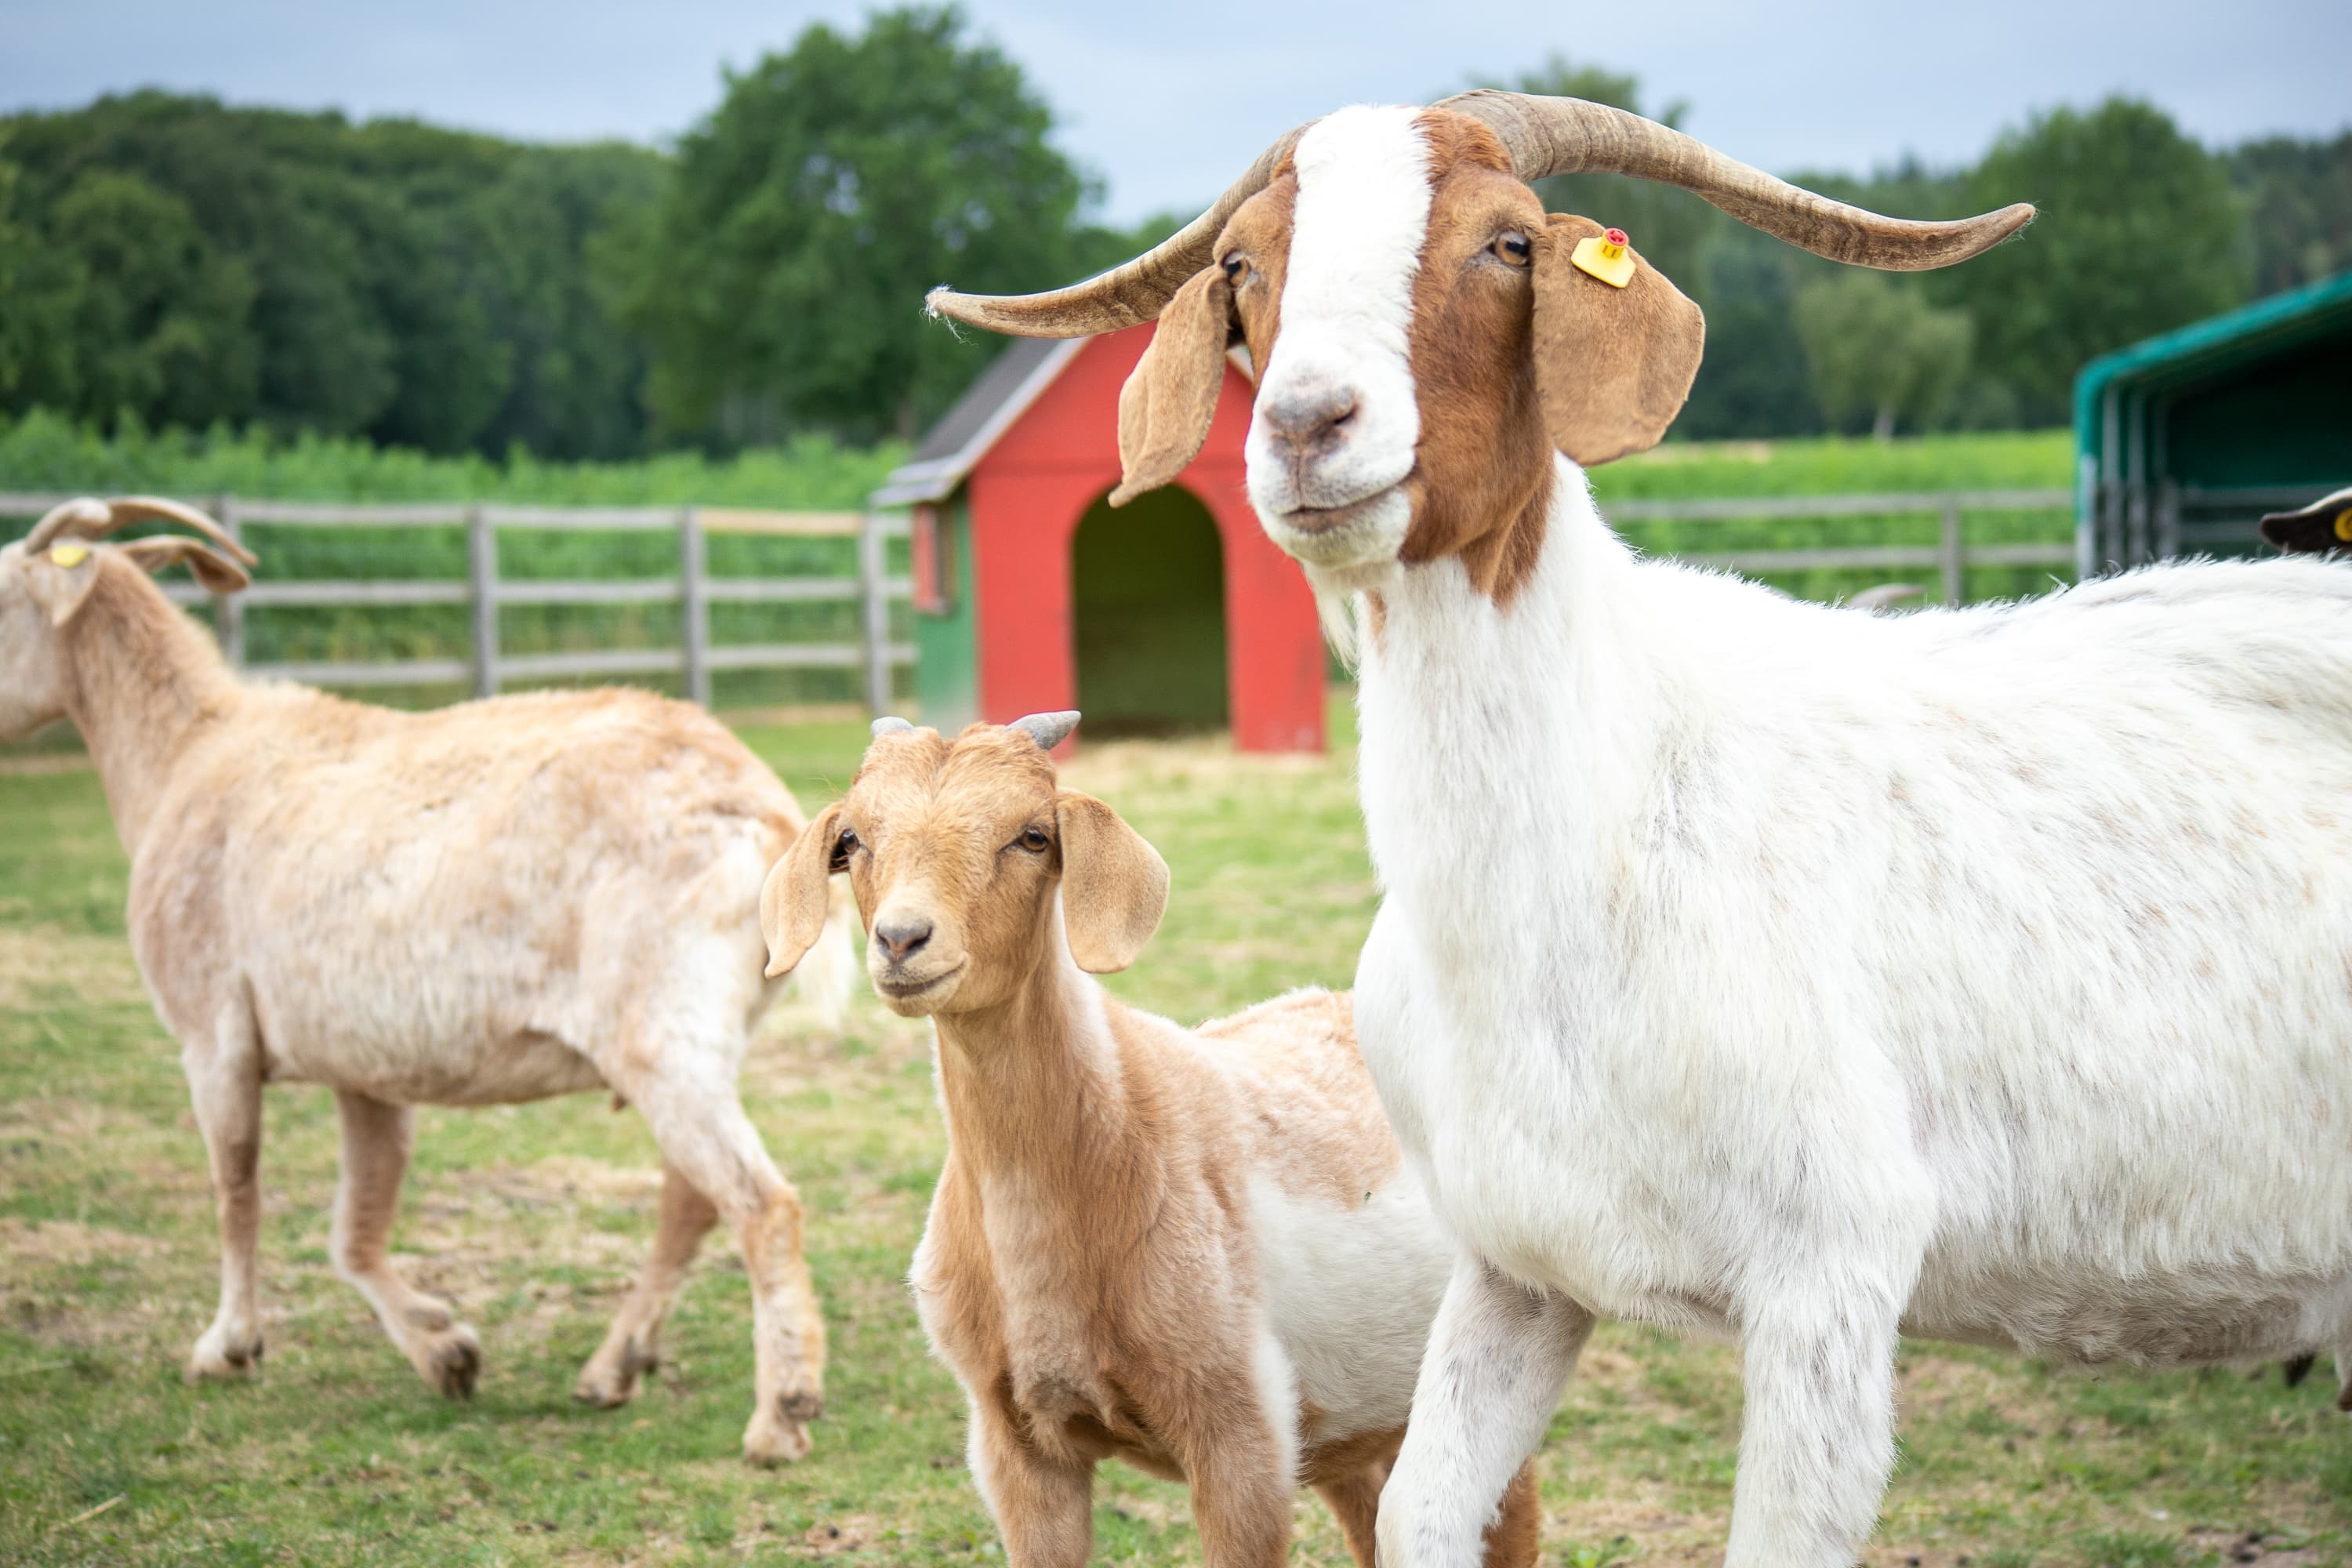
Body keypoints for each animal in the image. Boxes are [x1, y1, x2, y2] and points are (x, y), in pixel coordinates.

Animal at [927, 92, 2352, 1561]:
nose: (1309, 427)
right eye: (1242, 265)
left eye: (1508, 242)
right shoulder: (1512, 1265)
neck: (1601, 831)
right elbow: (1427, 1511)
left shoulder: (1832, 1279)